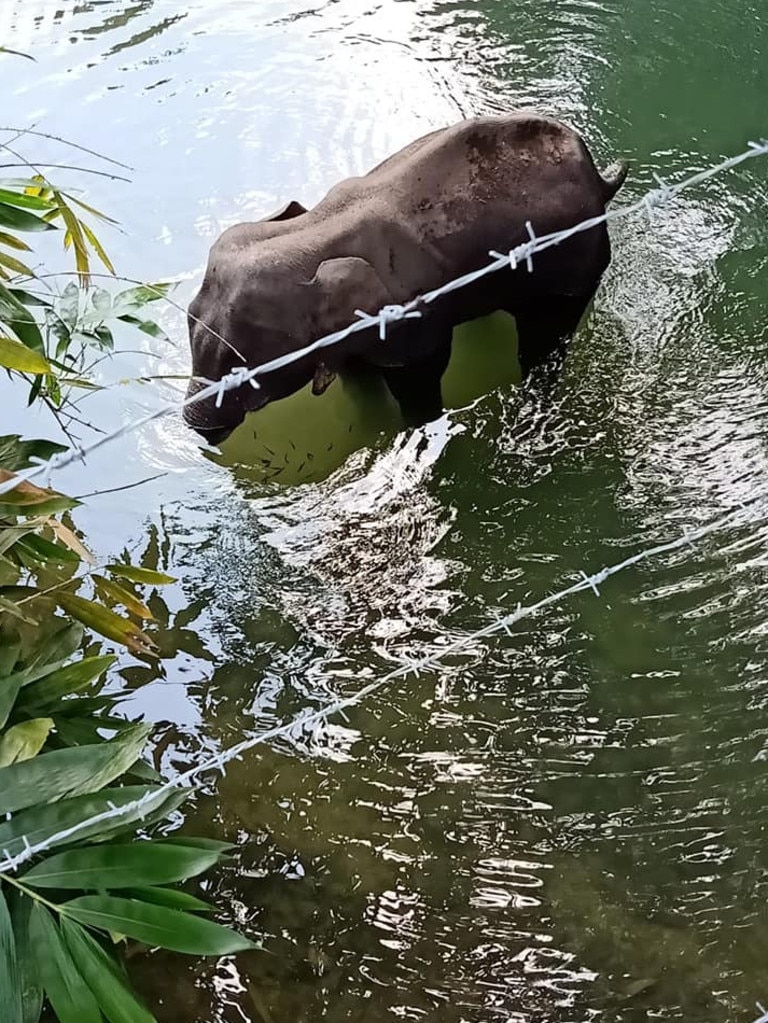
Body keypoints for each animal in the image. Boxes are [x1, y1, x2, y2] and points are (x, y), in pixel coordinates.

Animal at [183, 113, 625, 443]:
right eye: (189, 316)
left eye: (246, 365)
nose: (197, 428)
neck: (315, 232)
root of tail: (600, 179)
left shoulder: (410, 320)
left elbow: (421, 375)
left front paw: (414, 429)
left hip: (575, 261)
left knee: (545, 337)